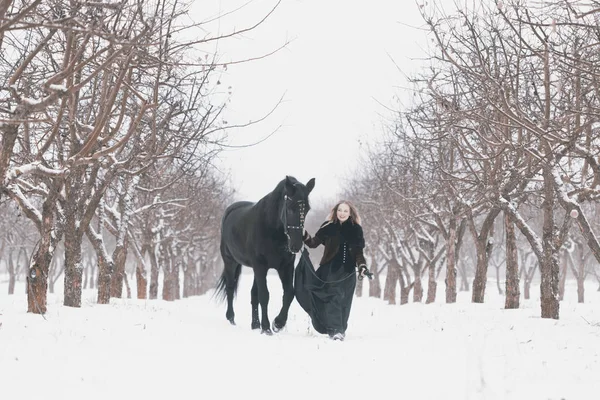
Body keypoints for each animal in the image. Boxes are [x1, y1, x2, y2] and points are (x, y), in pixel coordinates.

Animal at [214, 175, 314, 334]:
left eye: (307, 210)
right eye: (290, 208)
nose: (296, 245)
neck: (271, 228)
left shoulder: (285, 267)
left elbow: (289, 293)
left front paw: (278, 323)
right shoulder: (260, 266)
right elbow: (264, 295)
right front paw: (267, 328)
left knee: (253, 294)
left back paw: (255, 324)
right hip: (230, 262)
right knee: (230, 288)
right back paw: (231, 319)